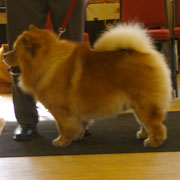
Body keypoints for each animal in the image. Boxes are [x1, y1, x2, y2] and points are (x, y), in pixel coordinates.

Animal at [3, 23, 172, 148]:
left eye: (15, 50)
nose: (4, 55)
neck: (48, 62)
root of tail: (144, 52)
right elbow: (78, 124)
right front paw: (78, 136)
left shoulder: (62, 110)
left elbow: (63, 126)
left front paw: (61, 141)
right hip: (137, 103)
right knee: (145, 122)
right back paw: (143, 135)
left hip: (143, 102)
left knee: (155, 124)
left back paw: (153, 141)